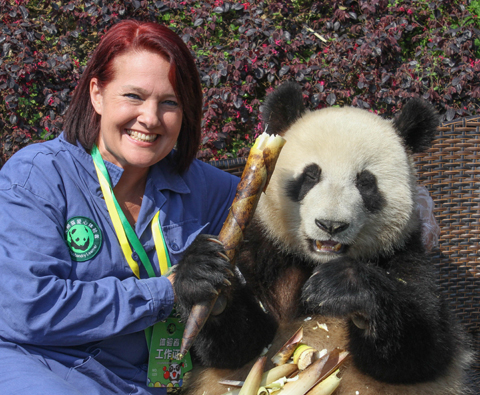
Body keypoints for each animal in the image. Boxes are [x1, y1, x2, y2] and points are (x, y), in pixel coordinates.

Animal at [174, 82, 474, 394]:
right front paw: (203, 276)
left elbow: (426, 348)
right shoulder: (262, 249)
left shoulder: (403, 252)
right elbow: (239, 347)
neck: (316, 261)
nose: (331, 225)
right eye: (310, 176)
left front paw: (339, 286)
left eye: (366, 182)